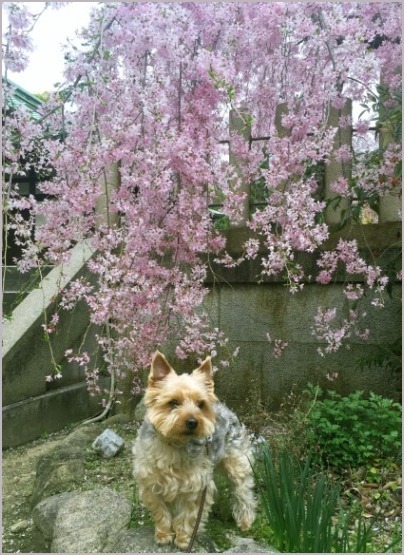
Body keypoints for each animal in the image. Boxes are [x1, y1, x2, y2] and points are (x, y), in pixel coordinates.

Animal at [134, 350, 258, 548]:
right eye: (173, 402)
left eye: (201, 404)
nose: (193, 421)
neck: (174, 443)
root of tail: (225, 408)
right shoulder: (150, 482)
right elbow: (160, 511)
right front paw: (163, 534)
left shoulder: (197, 485)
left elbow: (189, 515)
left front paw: (184, 539)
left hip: (237, 462)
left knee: (243, 491)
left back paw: (245, 521)